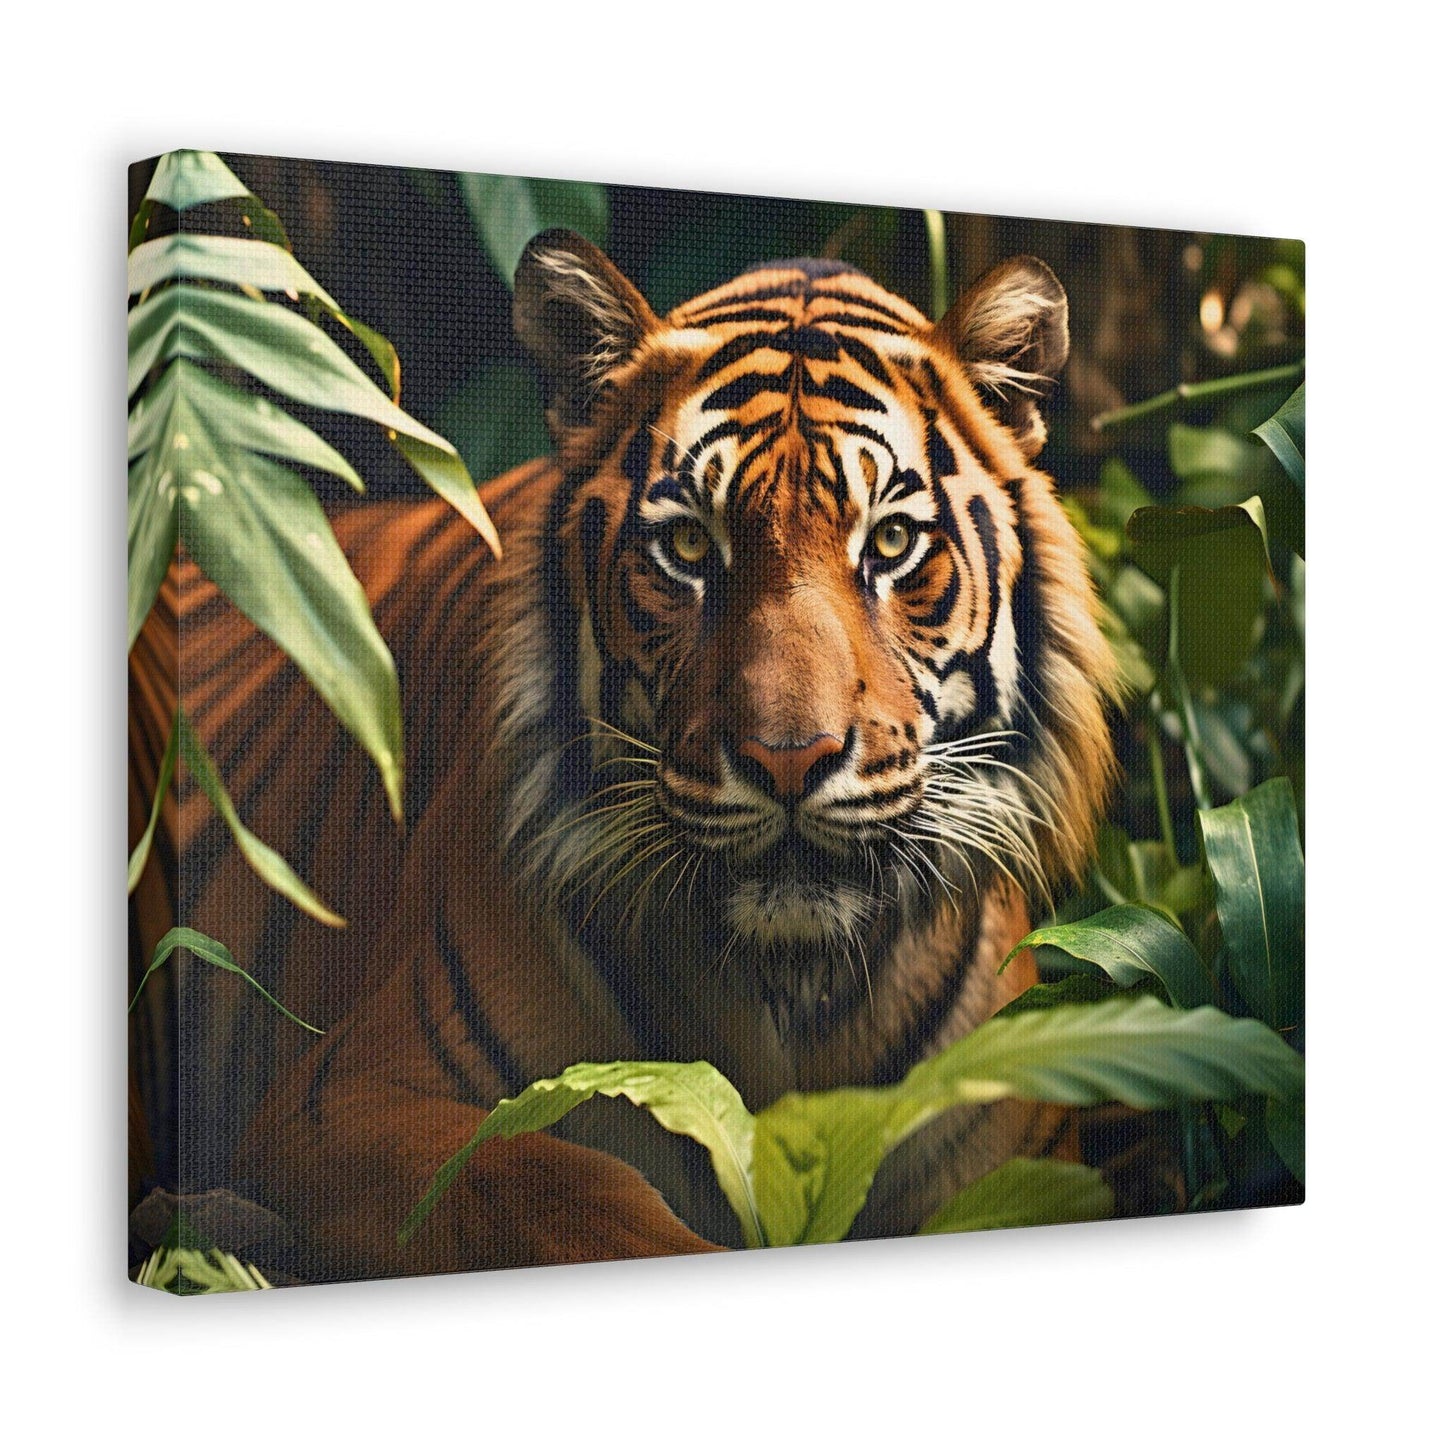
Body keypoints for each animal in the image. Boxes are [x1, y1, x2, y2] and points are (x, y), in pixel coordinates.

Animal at [128, 230, 1118, 1281]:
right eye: (687, 545)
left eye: (890, 541)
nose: (788, 759)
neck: (791, 992)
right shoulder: (340, 1099)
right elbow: (545, 1184)